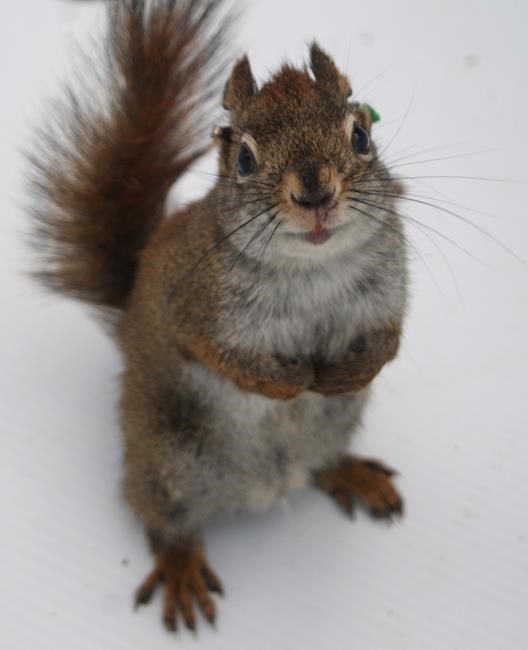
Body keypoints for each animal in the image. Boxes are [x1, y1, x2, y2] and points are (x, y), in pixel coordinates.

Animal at [29, 0, 408, 633]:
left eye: (360, 136)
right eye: (245, 159)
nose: (315, 196)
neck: (312, 269)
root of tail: (270, 484)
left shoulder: (387, 291)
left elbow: (390, 340)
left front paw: (347, 372)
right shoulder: (191, 305)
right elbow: (218, 355)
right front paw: (288, 382)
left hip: (335, 423)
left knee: (319, 462)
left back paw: (348, 471)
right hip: (169, 460)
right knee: (164, 521)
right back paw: (180, 566)